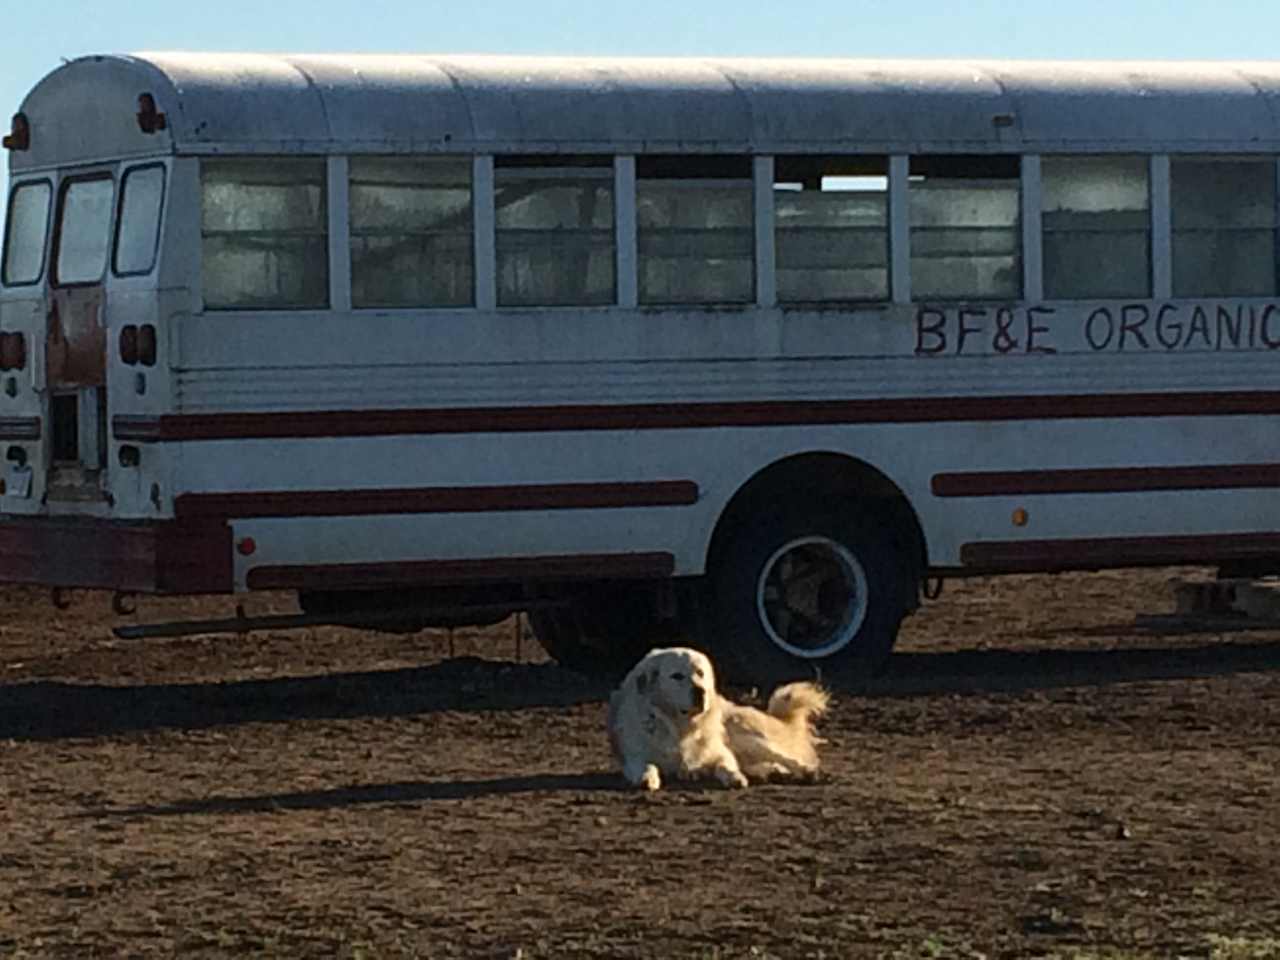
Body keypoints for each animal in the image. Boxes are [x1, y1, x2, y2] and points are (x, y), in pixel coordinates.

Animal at [606, 647, 829, 798]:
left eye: (700, 673)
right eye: (677, 676)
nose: (700, 691)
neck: (681, 727)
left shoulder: (720, 751)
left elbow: (726, 765)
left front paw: (734, 777)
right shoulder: (635, 758)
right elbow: (647, 766)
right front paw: (648, 779)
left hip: (746, 739)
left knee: (784, 757)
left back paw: (806, 772)